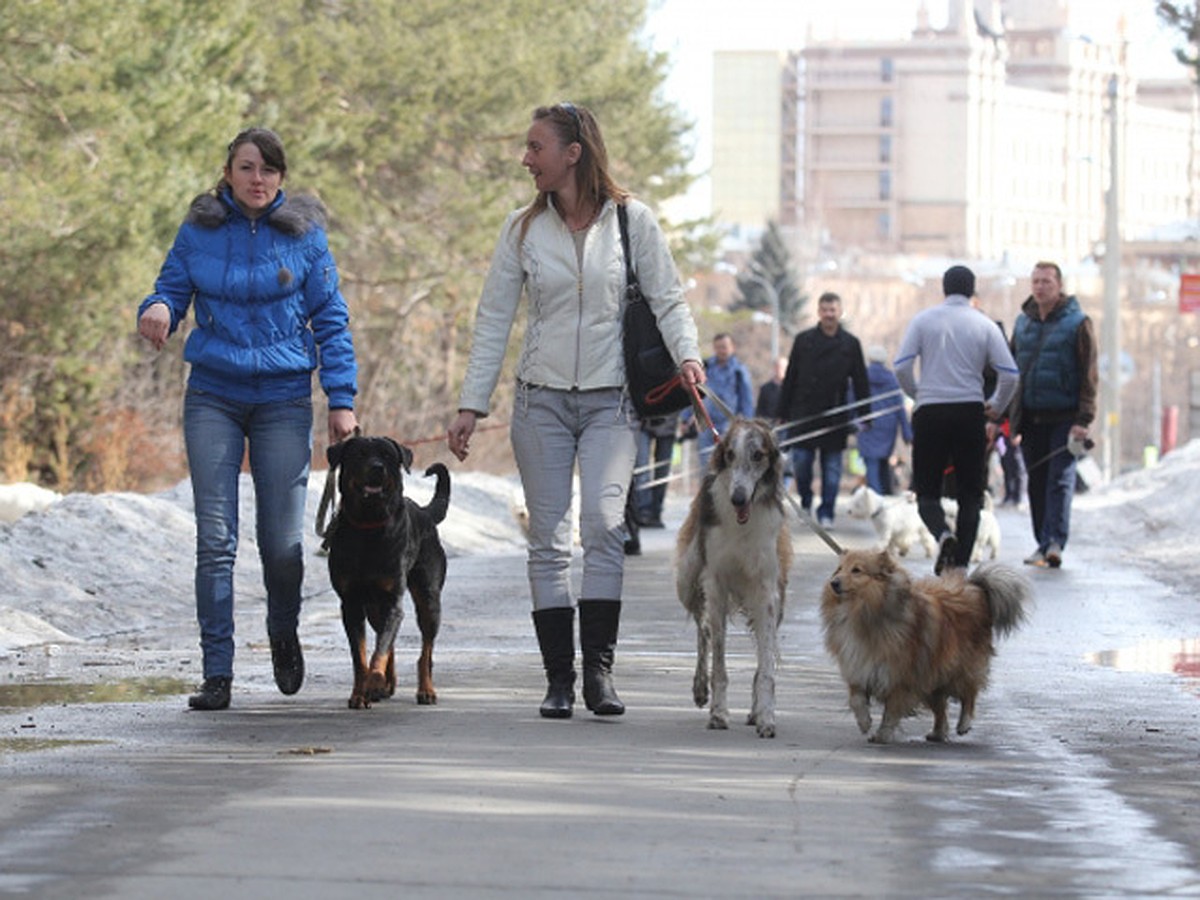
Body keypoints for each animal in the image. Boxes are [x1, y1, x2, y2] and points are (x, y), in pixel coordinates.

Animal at [324, 436, 451, 710]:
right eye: (360, 454)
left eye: (387, 456)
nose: (377, 468)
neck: (368, 527)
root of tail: (424, 512)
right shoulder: (351, 603)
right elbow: (361, 656)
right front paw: (360, 693)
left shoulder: (393, 599)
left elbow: (379, 650)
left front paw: (373, 682)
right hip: (374, 607)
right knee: (387, 636)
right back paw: (386, 684)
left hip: (428, 598)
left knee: (425, 651)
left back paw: (425, 690)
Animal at [681, 420, 792, 734]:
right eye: (729, 455)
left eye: (758, 455)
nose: (737, 498)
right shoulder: (715, 583)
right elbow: (718, 662)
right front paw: (718, 713)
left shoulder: (766, 590)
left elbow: (765, 667)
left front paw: (765, 716)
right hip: (688, 581)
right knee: (703, 630)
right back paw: (700, 688)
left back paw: (753, 711)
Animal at [820, 554, 1027, 744]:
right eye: (839, 569)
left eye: (856, 570)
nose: (833, 583)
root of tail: (974, 587)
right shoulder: (860, 668)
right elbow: (856, 700)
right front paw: (864, 723)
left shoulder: (900, 676)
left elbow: (891, 711)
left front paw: (882, 735)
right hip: (931, 676)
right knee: (941, 709)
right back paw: (937, 733)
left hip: (959, 669)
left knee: (969, 694)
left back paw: (964, 724)